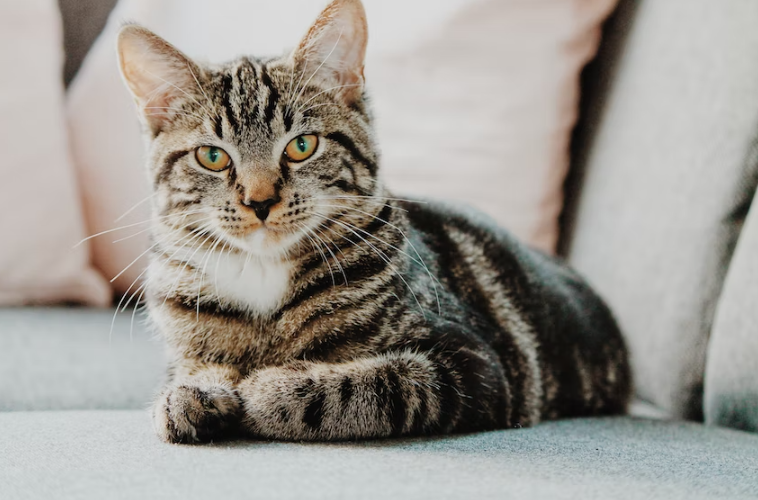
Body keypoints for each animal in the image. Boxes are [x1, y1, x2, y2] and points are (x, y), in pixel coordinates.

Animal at [116, 0, 632, 446]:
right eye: (212, 156)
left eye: (301, 146)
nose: (259, 201)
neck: (263, 275)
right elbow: (191, 369)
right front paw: (190, 393)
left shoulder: (472, 365)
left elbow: (370, 385)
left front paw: (268, 389)